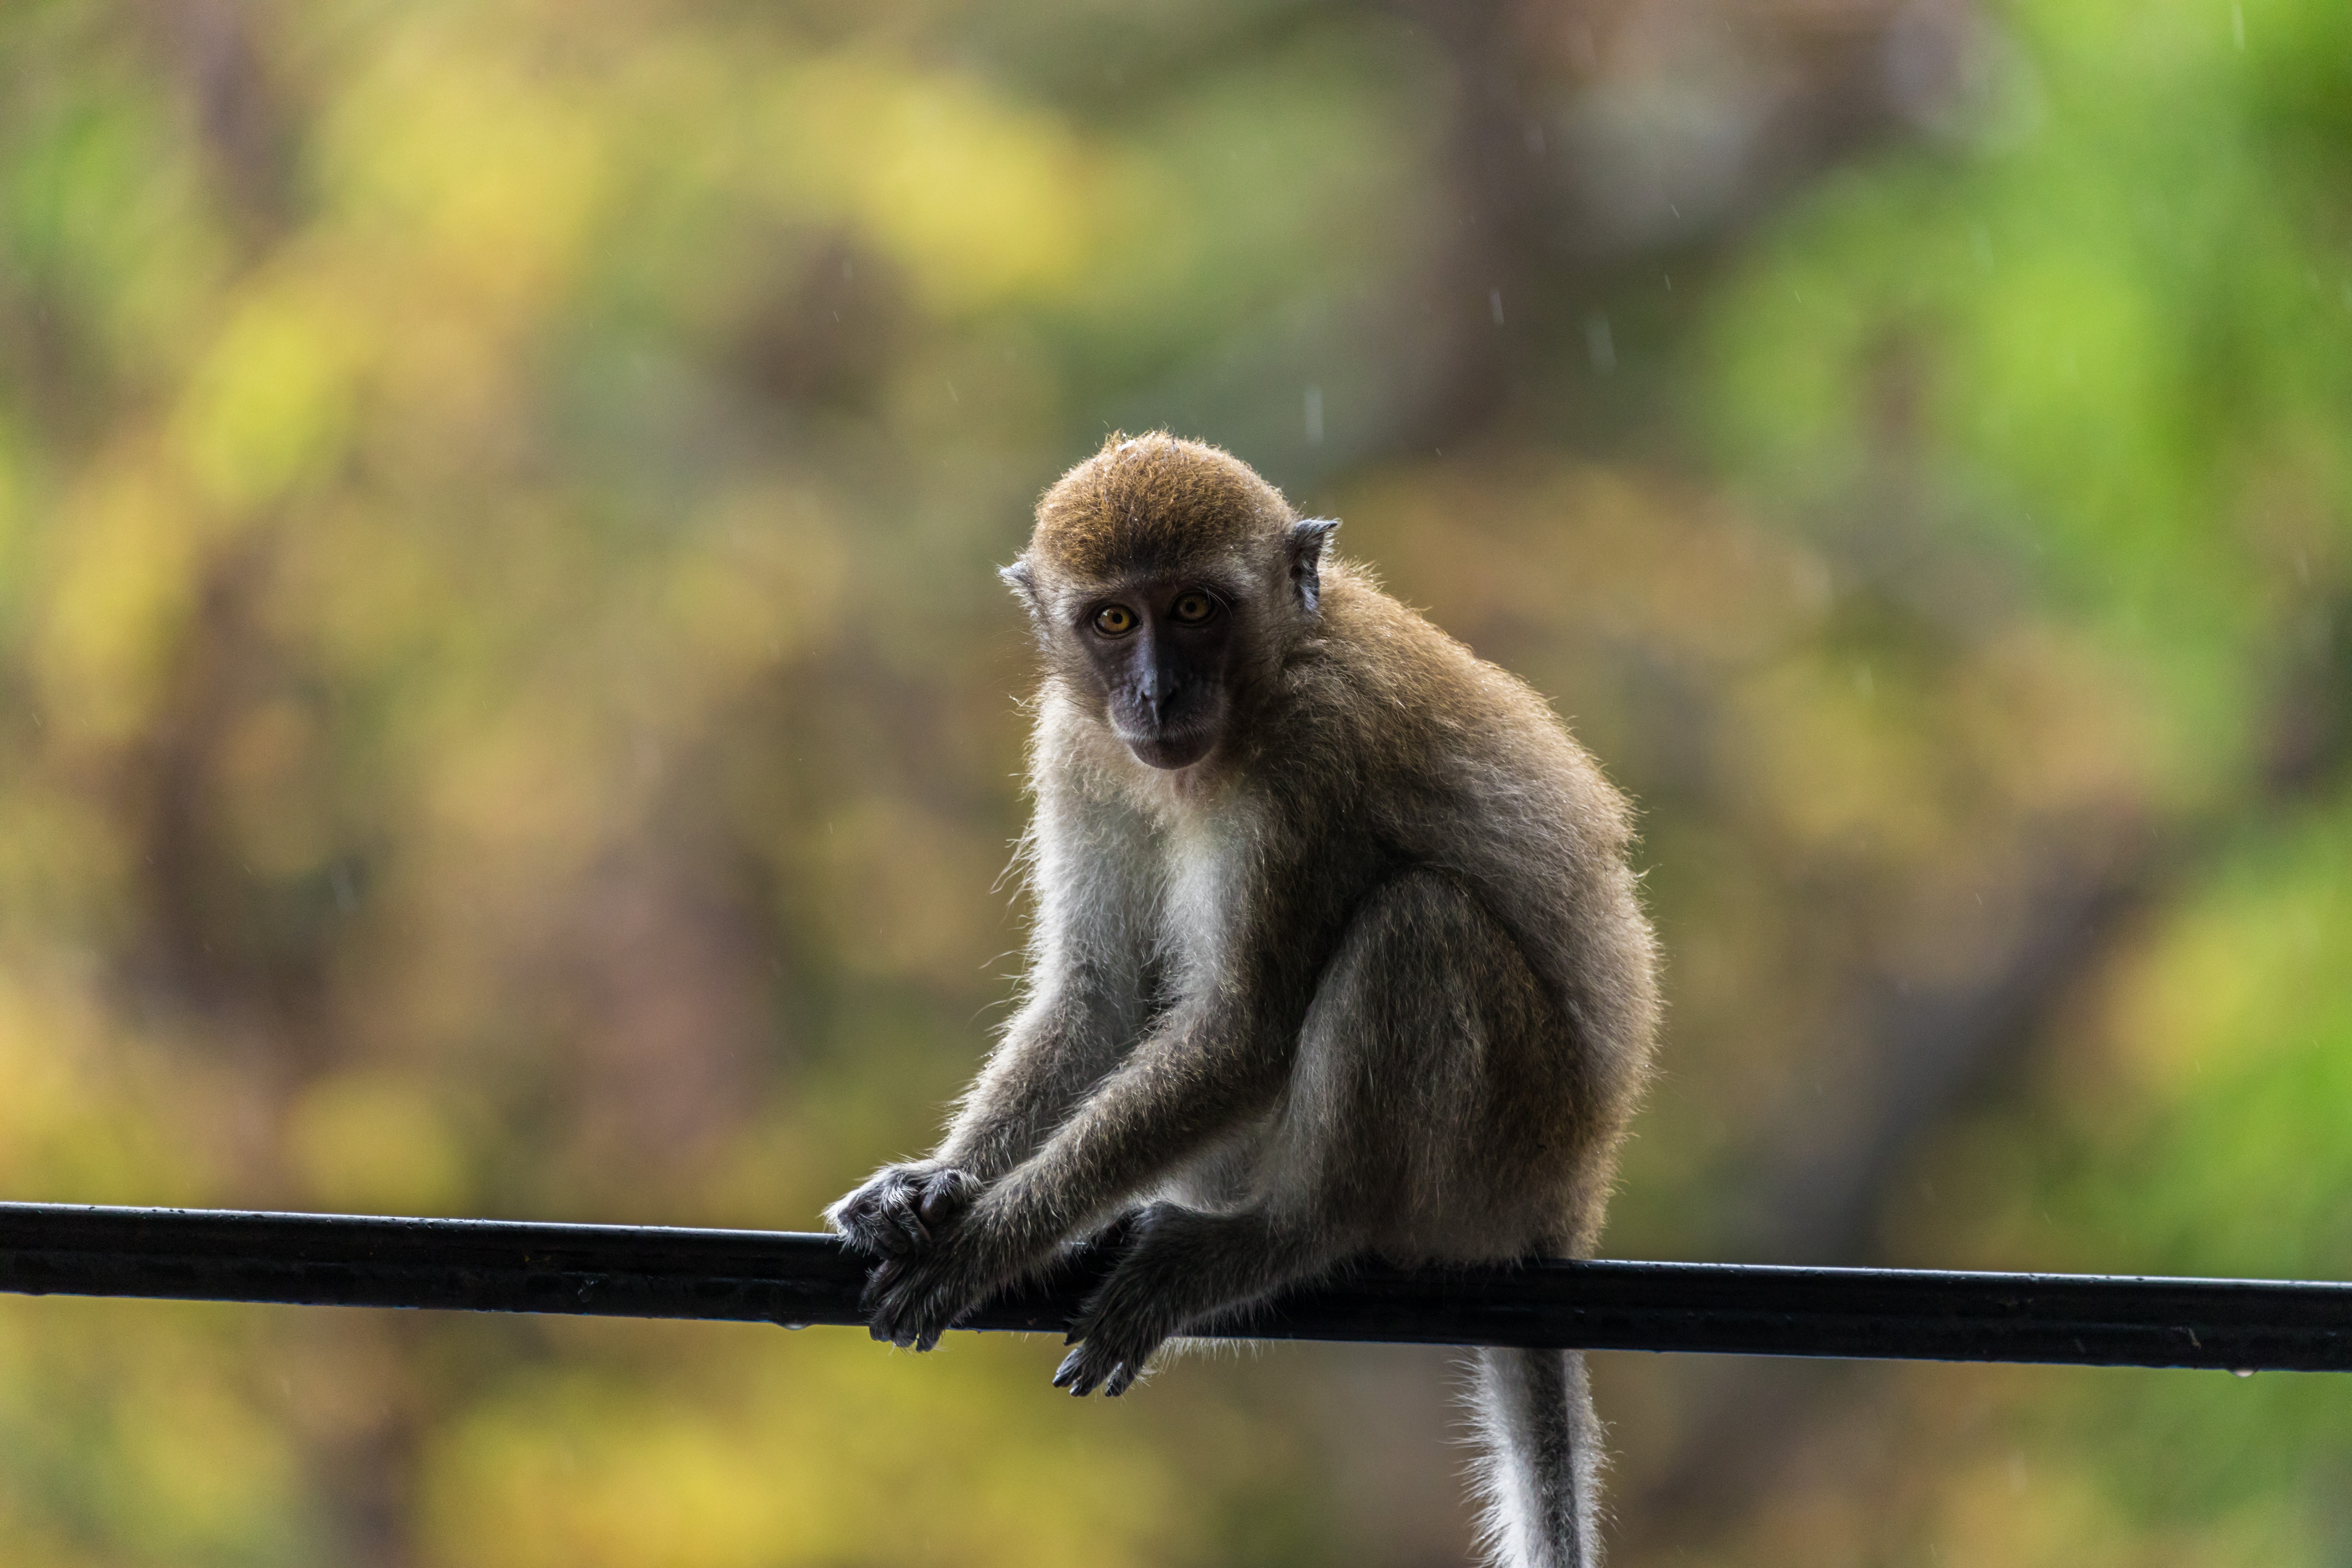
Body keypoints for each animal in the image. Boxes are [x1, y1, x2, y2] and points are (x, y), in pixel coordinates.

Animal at [828, 430, 1656, 1568]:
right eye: (1115, 620)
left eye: (1193, 609)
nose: (1156, 695)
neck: (1273, 672)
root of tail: (1570, 1196)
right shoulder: (1076, 744)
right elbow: (1100, 997)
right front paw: (934, 1184)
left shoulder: (1311, 757)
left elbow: (1241, 1032)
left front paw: (987, 1243)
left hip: (1500, 1150)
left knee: (1416, 920)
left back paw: (1287, 1234)